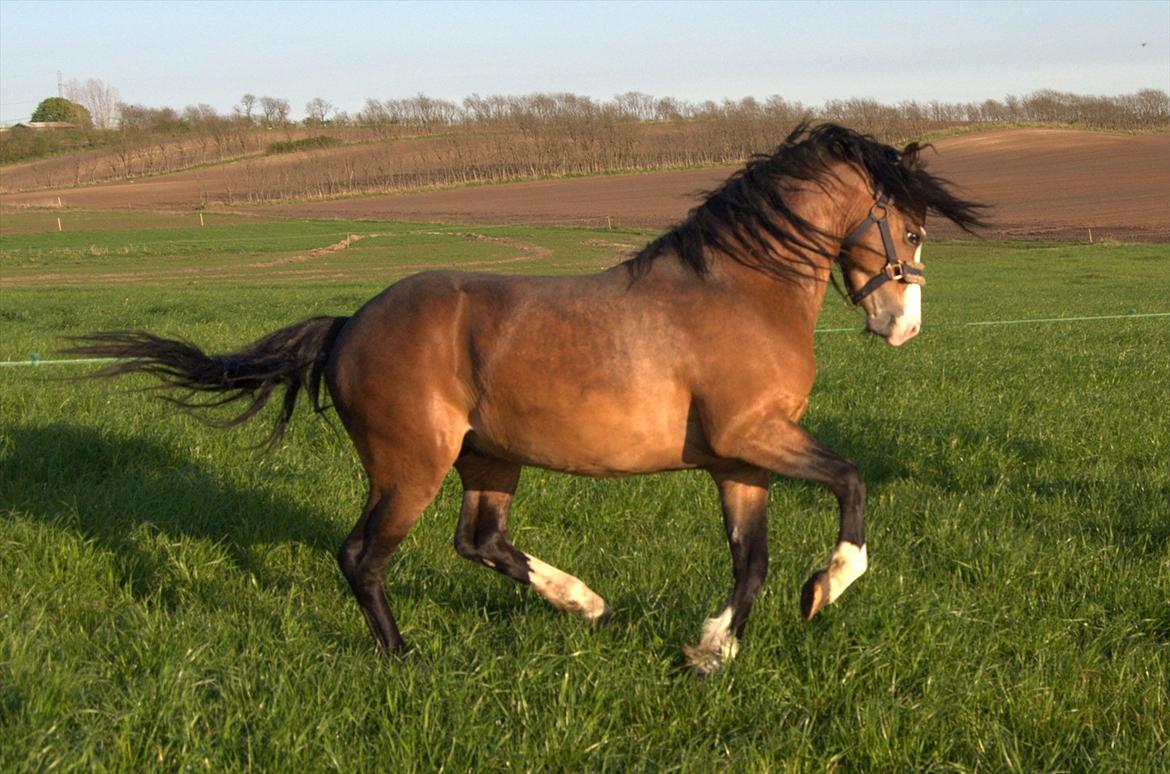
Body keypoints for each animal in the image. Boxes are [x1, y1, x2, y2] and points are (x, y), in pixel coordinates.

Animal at [70, 124, 987, 678]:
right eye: (910, 228)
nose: (902, 324)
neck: (739, 289)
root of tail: (347, 327)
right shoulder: (755, 435)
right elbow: (852, 483)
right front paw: (824, 589)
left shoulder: (740, 458)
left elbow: (750, 559)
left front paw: (709, 650)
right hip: (411, 468)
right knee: (363, 557)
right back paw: (406, 656)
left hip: (490, 458)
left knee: (479, 542)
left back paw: (586, 602)